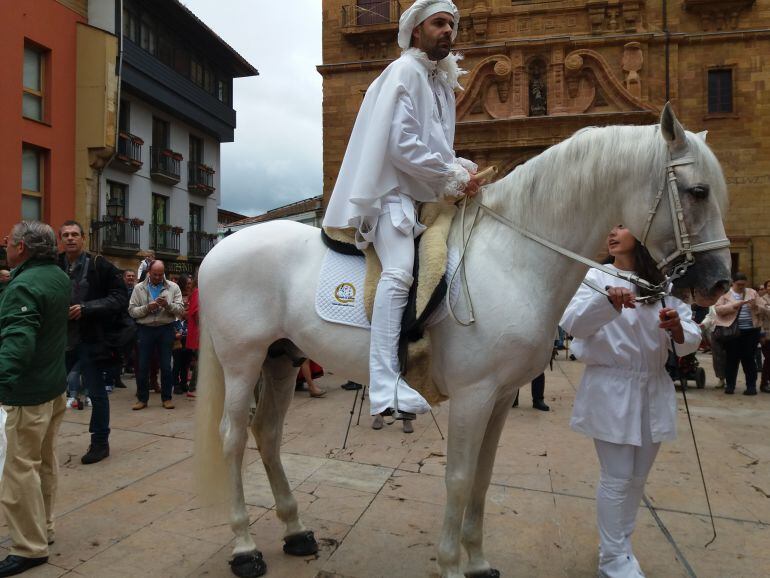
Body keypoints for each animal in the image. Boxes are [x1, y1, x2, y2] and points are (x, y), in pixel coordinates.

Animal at [195, 104, 728, 576]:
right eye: (698, 191)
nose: (718, 283)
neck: (512, 258)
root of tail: (219, 249)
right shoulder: (474, 395)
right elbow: (457, 477)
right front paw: (452, 564)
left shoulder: (502, 396)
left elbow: (483, 478)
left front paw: (477, 562)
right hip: (242, 361)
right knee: (232, 437)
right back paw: (245, 548)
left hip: (281, 360)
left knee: (267, 434)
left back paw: (295, 531)